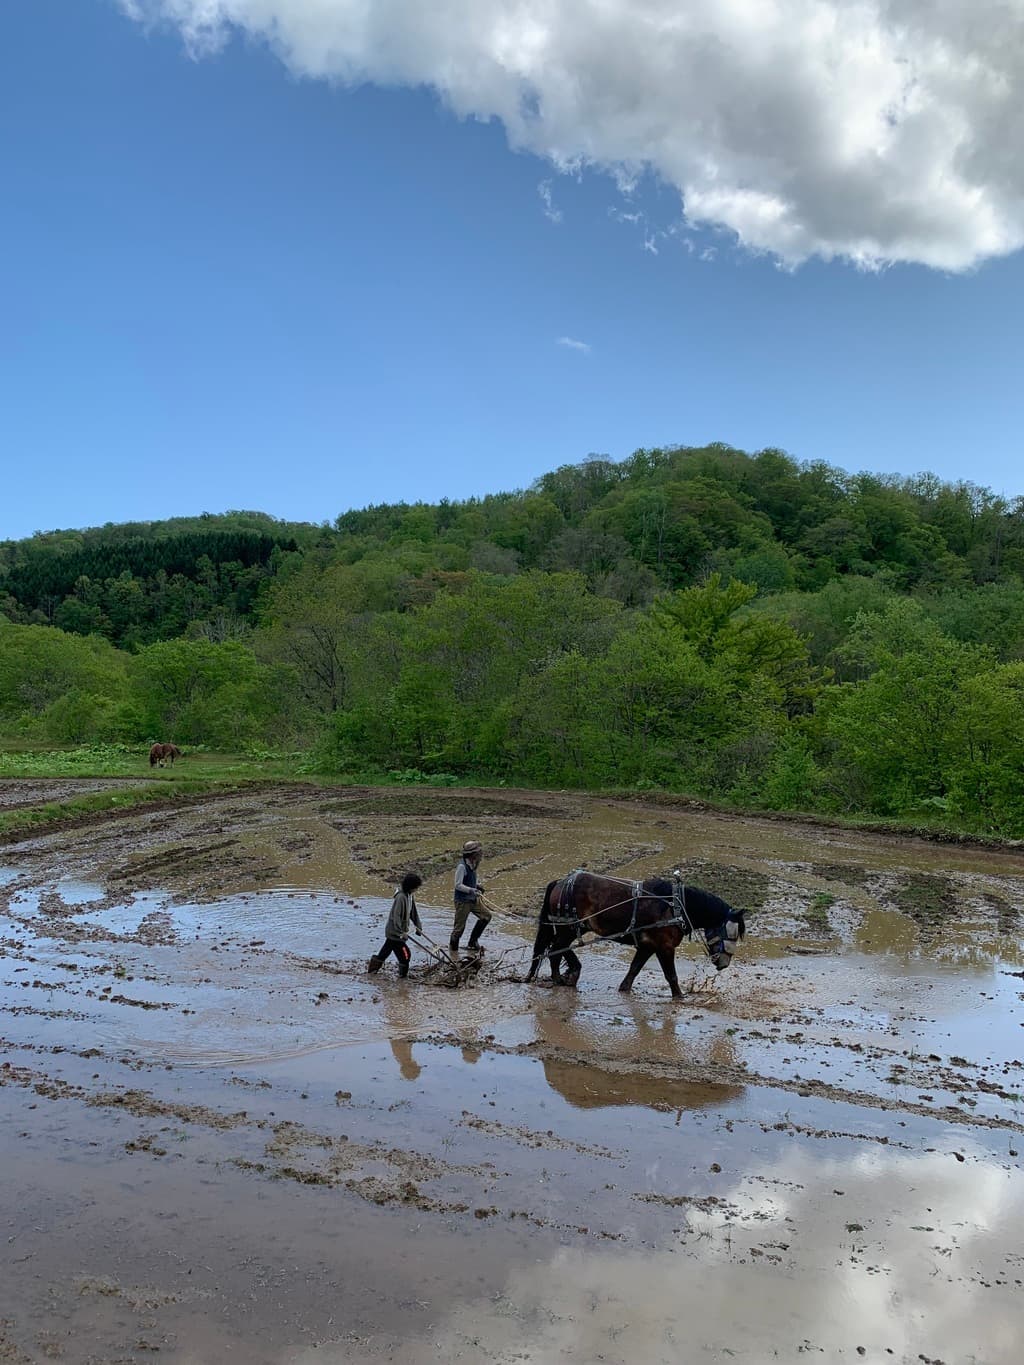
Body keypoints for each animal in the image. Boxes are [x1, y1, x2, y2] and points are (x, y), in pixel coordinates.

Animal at [525, 870, 746, 999]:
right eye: (733, 932)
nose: (724, 963)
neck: (676, 906)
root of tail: (561, 882)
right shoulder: (664, 947)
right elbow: (671, 976)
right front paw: (680, 997)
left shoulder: (648, 946)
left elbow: (634, 969)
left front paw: (624, 989)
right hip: (569, 927)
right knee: (555, 950)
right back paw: (559, 979)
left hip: (571, 928)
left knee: (556, 949)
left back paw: (569, 974)